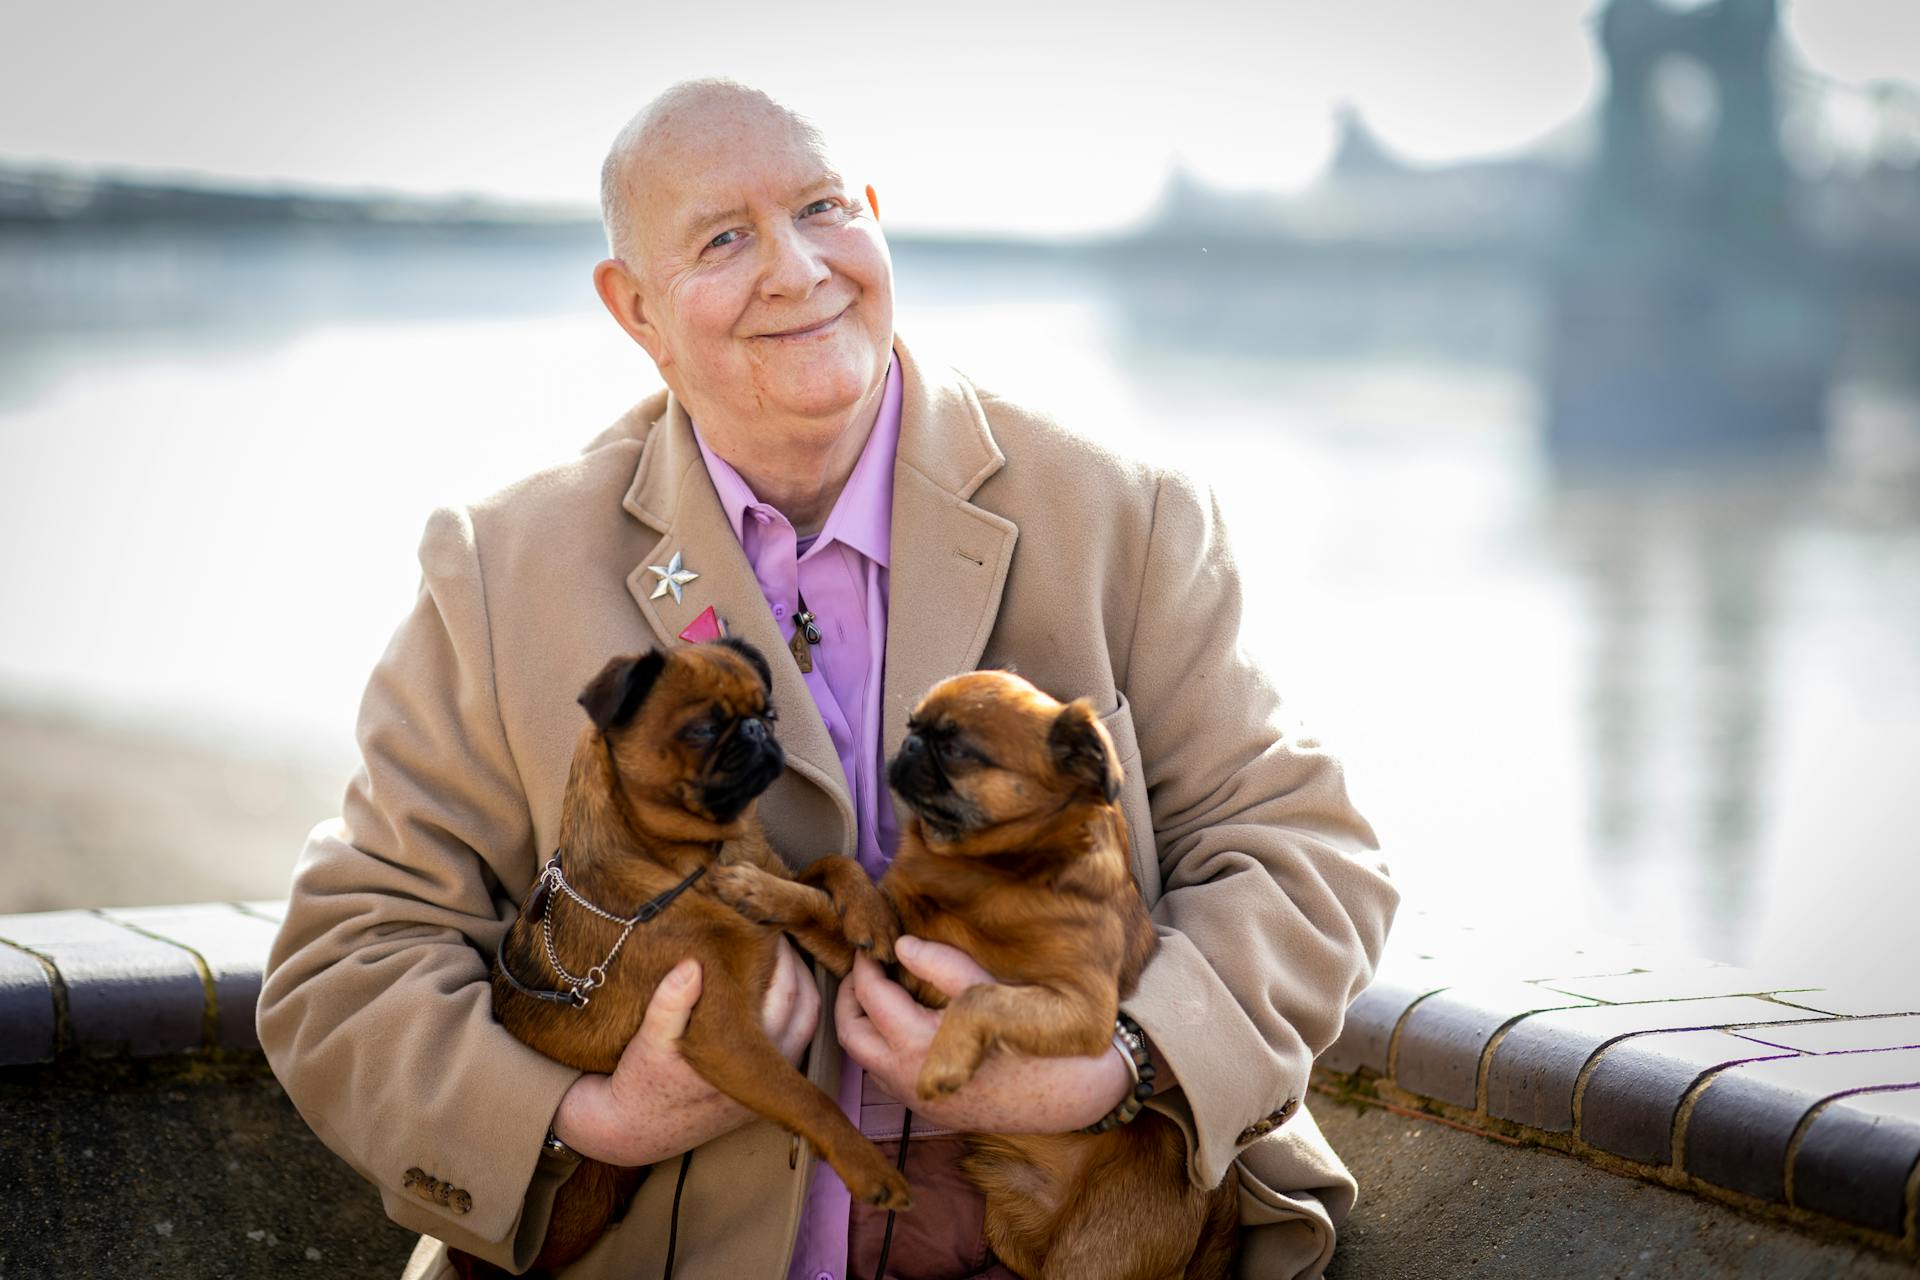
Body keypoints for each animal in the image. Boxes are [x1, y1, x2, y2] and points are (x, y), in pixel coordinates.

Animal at [474, 644, 913, 1274]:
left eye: (769, 712)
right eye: (703, 728)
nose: (758, 729)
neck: (706, 856)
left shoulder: (797, 912)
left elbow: (831, 866)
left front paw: (871, 916)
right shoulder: (725, 1035)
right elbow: (806, 1097)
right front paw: (867, 1167)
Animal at [714, 671, 1236, 1280]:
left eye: (957, 749)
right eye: (914, 725)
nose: (908, 744)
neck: (983, 871)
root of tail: (1214, 1213)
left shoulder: (1084, 1011)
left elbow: (982, 995)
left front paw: (944, 1060)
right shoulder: (883, 959)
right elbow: (829, 881)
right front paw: (773, 892)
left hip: (1093, 1253)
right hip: (1008, 1223)